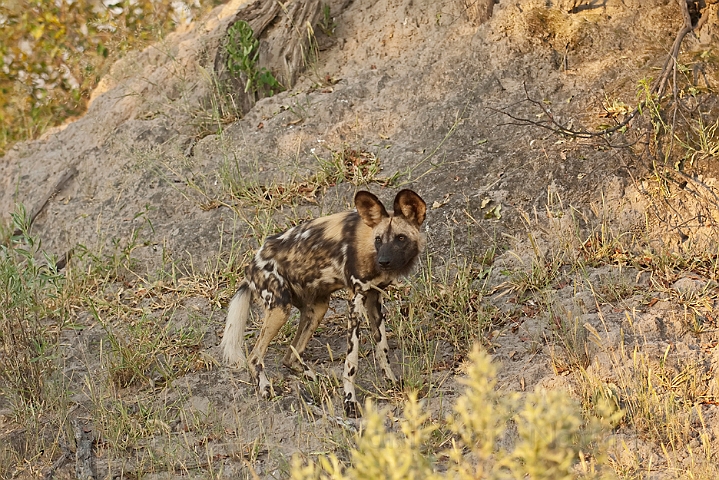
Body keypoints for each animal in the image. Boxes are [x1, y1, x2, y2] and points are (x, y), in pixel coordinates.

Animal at [222, 189, 428, 414]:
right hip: (280, 309)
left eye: (400, 238)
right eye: (379, 239)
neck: (369, 248)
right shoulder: (355, 300)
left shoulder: (374, 298)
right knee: (255, 356)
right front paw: (349, 401)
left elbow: (382, 348)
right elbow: (351, 361)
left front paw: (391, 382)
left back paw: (317, 379)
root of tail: (250, 268)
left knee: (290, 356)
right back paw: (266, 388)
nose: (383, 261)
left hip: (317, 309)